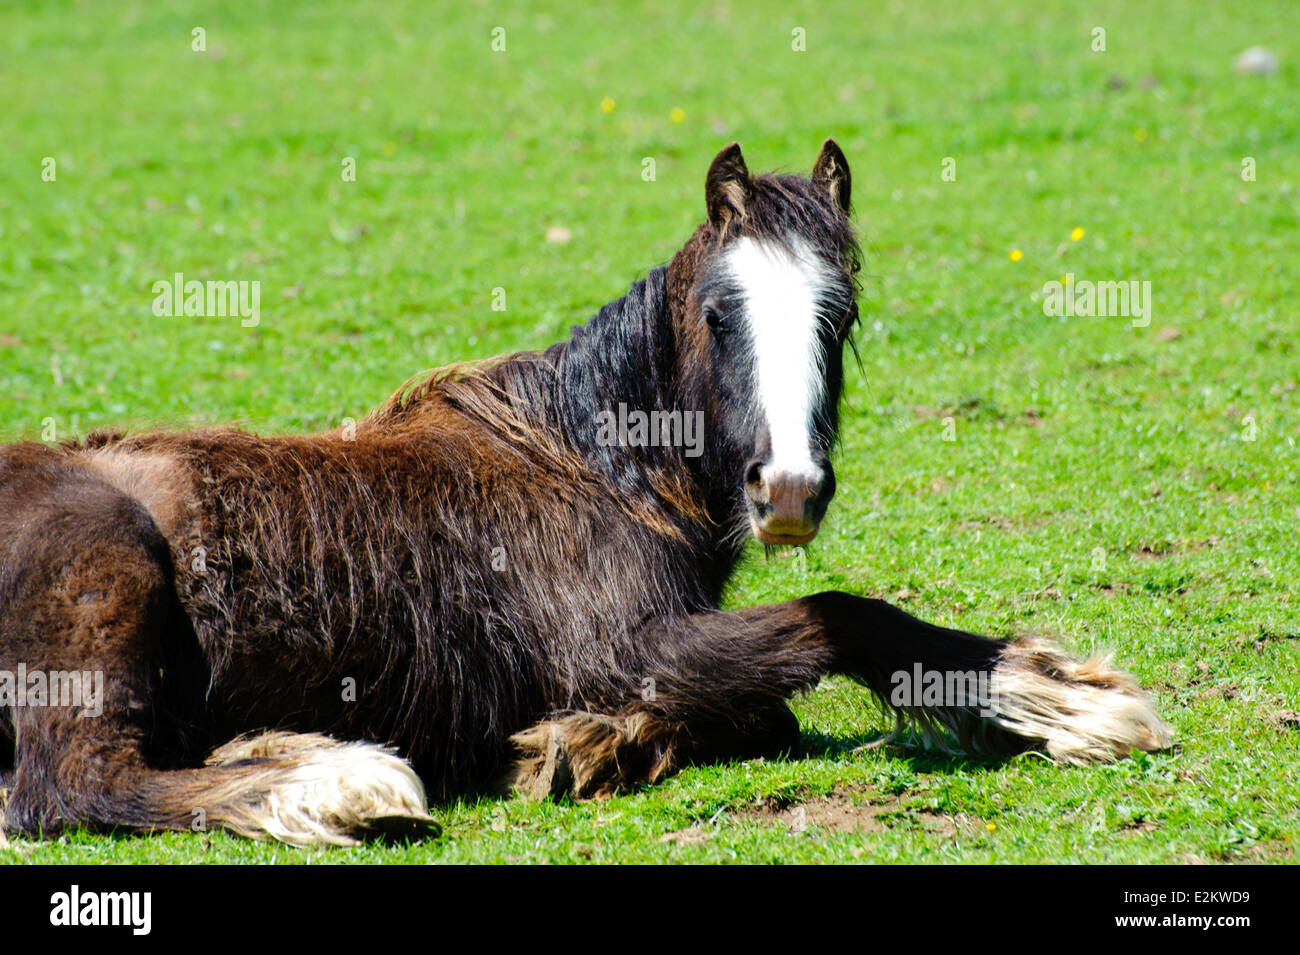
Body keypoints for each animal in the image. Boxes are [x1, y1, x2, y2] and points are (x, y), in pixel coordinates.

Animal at [0, 140, 1171, 846]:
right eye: (719, 314)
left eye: (839, 315)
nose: (790, 491)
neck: (589, 461)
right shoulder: (632, 643)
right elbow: (837, 622)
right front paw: (1062, 697)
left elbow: (769, 709)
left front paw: (587, 744)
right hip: (102, 582)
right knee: (74, 781)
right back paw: (334, 782)